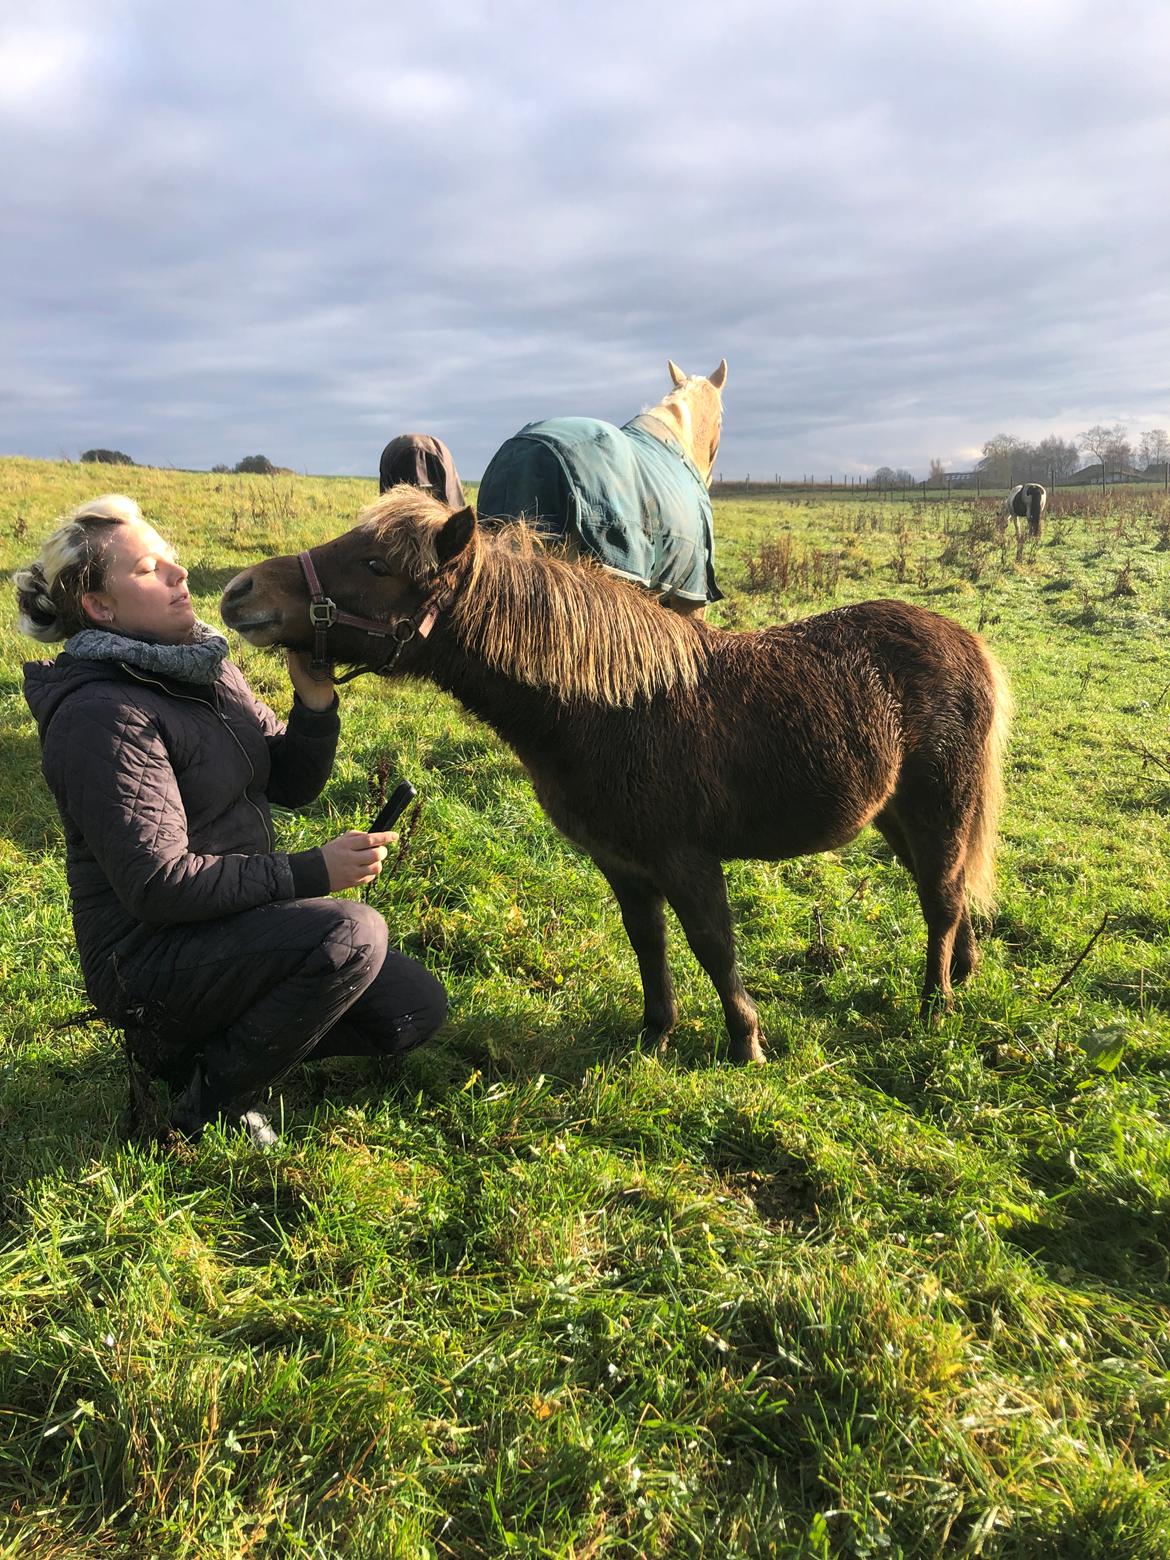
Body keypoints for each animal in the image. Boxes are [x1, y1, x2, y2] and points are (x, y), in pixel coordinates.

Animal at [224, 492, 1010, 1067]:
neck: (608, 708)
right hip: (896, 817)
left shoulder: (686, 861)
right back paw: (962, 976)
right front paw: (656, 1035)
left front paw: (745, 1045)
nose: (239, 593)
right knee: (947, 893)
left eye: (377, 564)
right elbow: (648, 944)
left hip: (939, 806)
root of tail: (967, 640)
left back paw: (935, 1006)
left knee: (942, 899)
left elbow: (713, 947)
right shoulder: (624, 864)